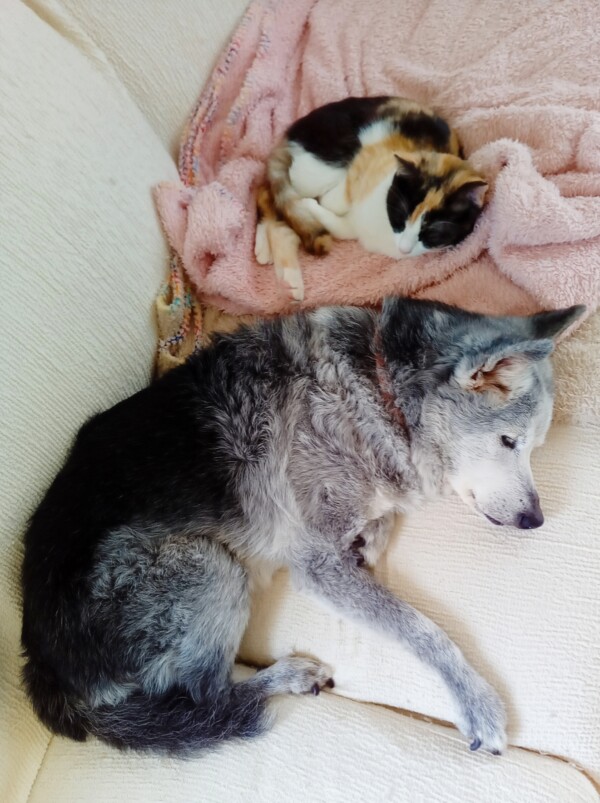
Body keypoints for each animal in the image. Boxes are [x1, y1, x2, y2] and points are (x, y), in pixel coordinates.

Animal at [21, 297, 583, 756]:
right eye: (509, 441)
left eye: (533, 447)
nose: (536, 519)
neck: (379, 387)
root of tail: (46, 672)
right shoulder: (318, 565)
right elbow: (422, 629)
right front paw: (475, 699)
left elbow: (381, 515)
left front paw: (371, 536)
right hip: (212, 566)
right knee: (207, 697)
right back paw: (286, 676)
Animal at [255, 96, 487, 301]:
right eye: (402, 214)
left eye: (434, 232)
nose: (404, 248)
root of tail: (289, 134)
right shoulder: (368, 159)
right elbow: (334, 200)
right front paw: (318, 201)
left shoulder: (354, 227)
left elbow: (339, 224)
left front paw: (314, 207)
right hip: (317, 168)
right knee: (271, 189)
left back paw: (284, 275)